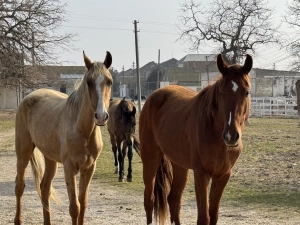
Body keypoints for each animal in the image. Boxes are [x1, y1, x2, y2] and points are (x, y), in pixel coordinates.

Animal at [13, 51, 112, 225]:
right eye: (89, 82)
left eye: (110, 82)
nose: (101, 116)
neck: (82, 130)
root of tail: (29, 96)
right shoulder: (69, 168)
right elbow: (74, 208)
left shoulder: (89, 168)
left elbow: (83, 204)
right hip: (23, 152)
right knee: (19, 186)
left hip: (50, 159)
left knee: (44, 187)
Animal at [139, 53, 252, 224]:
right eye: (222, 92)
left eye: (246, 92)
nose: (231, 136)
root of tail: (155, 95)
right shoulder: (201, 174)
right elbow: (203, 217)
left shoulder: (223, 176)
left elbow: (213, 216)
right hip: (150, 159)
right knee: (149, 200)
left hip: (179, 164)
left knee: (173, 199)